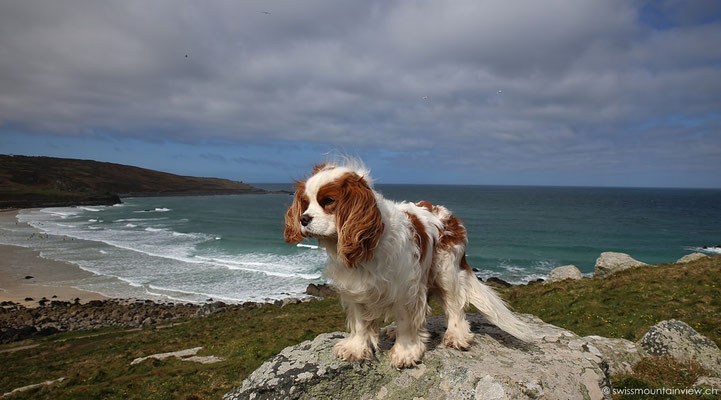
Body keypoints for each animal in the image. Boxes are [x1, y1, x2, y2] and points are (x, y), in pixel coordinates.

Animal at [284, 161, 532, 368]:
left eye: (328, 201)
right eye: (305, 203)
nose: (303, 219)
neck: (369, 245)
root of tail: (448, 214)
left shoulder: (406, 288)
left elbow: (407, 320)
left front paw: (406, 351)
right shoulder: (355, 287)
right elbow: (360, 322)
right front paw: (357, 347)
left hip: (446, 269)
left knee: (455, 305)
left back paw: (456, 335)